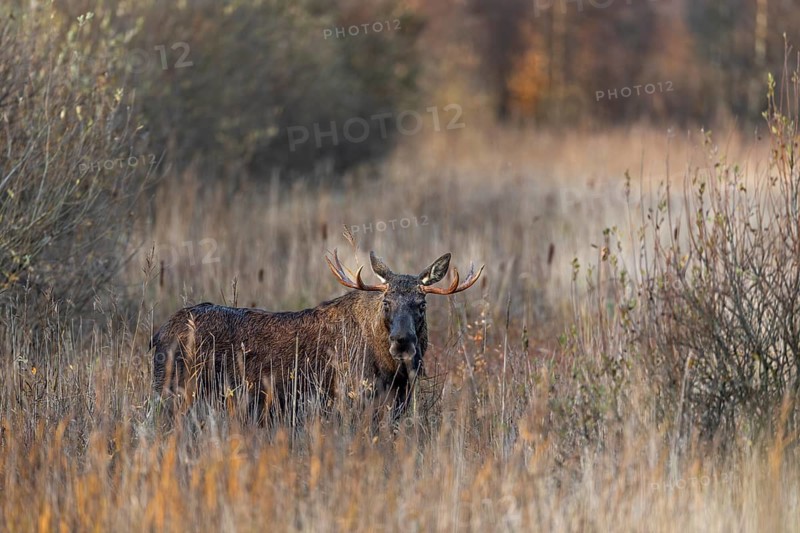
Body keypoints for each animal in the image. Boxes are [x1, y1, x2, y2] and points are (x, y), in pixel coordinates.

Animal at [151, 249, 483, 422]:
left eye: (421, 304)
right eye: (386, 302)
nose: (402, 342)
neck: (393, 373)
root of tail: (157, 335)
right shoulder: (352, 394)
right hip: (178, 391)